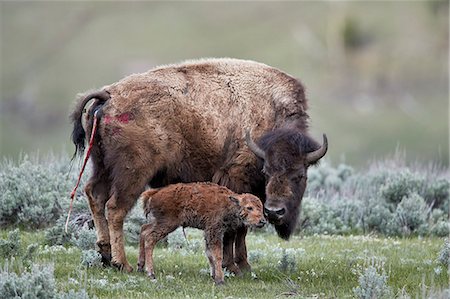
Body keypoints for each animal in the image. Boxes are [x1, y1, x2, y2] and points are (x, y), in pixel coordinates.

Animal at [72, 57, 328, 274]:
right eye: (267, 171)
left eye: (300, 175)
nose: (275, 212)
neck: (270, 114)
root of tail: (109, 95)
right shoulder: (237, 180)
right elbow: (237, 228)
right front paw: (234, 266)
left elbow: (242, 228)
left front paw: (244, 266)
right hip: (132, 173)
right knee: (115, 208)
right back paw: (122, 263)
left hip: (101, 166)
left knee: (95, 195)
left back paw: (105, 255)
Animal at [136, 183, 264, 286]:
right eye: (249, 207)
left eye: (261, 208)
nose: (262, 221)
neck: (229, 203)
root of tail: (154, 193)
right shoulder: (214, 230)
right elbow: (217, 254)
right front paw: (220, 280)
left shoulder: (208, 232)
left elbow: (209, 253)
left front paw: (213, 275)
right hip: (167, 224)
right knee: (150, 238)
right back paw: (151, 273)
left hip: (157, 222)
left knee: (144, 230)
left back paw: (140, 267)